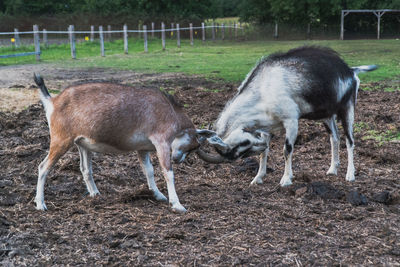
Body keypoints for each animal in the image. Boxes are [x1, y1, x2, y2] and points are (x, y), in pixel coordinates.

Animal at [33, 74, 200, 214]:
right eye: (191, 147)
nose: (178, 159)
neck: (170, 110)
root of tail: (53, 101)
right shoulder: (162, 141)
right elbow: (168, 172)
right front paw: (177, 205)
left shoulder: (142, 148)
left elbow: (149, 171)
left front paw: (158, 195)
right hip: (61, 139)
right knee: (43, 167)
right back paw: (40, 204)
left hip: (82, 143)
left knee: (85, 169)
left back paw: (95, 194)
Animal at [198, 46, 376, 186]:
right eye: (240, 153)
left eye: (244, 144)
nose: (260, 145)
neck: (264, 89)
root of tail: (350, 71)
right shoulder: (266, 127)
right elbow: (265, 153)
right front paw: (258, 178)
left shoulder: (291, 120)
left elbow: (287, 149)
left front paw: (286, 179)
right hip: (327, 115)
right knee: (334, 138)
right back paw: (332, 169)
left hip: (347, 108)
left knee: (349, 140)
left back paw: (350, 175)